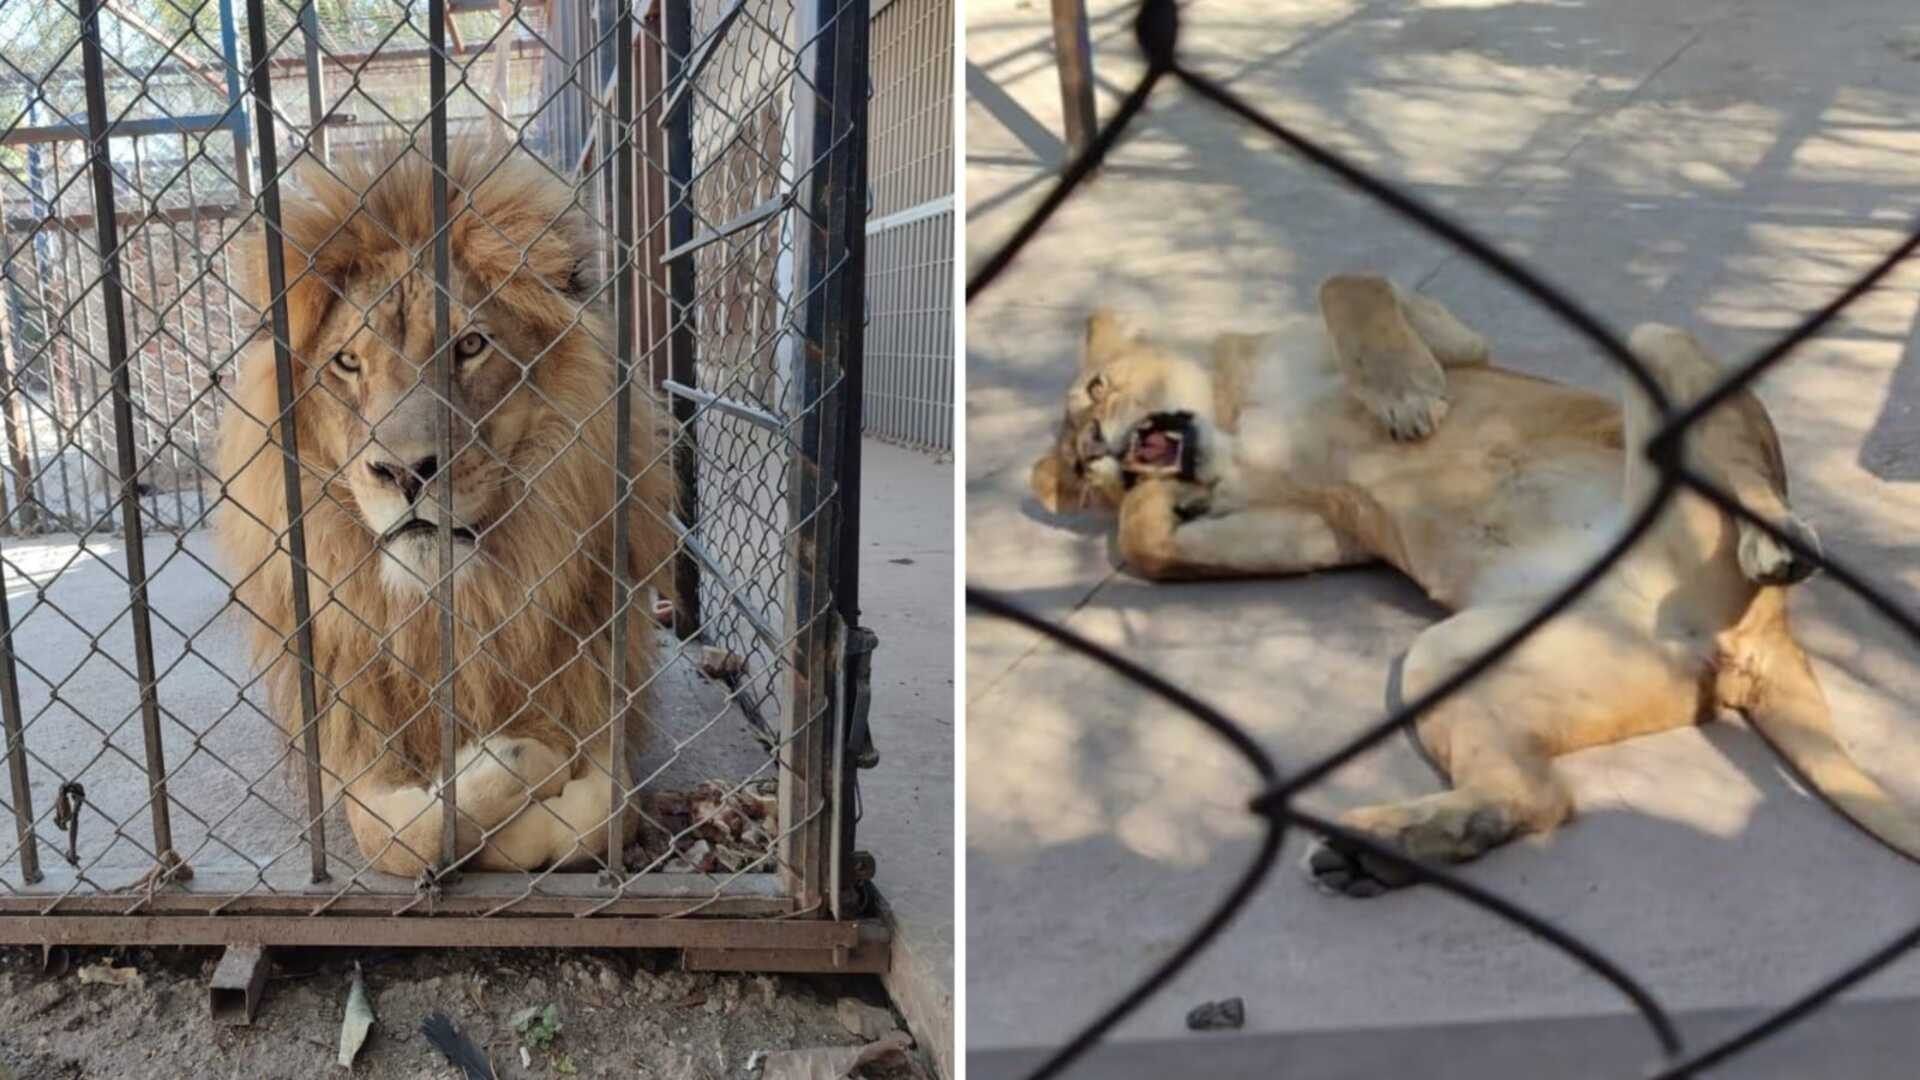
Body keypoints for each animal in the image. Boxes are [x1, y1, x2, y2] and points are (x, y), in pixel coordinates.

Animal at [214, 142, 674, 878]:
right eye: (348, 362)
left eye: (470, 346)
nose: (406, 471)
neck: (450, 610)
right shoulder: (353, 744)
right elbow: (405, 836)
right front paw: (516, 766)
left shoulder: (599, 699)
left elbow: (603, 816)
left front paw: (525, 788)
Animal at [1031, 274, 1920, 896]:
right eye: (1077, 459)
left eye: (1096, 390)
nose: (1099, 448)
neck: (1231, 414)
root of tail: (1756, 639)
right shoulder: (1324, 527)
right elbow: (1147, 547)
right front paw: (1153, 508)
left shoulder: (1450, 338)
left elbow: (1350, 287)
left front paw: (1404, 399)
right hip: (1451, 656)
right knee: (1539, 798)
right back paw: (1386, 852)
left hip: (1655, 344)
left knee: (1757, 483)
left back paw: (1776, 542)